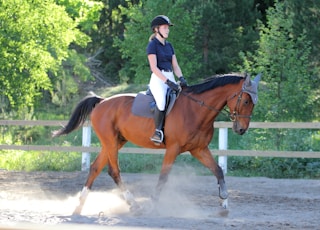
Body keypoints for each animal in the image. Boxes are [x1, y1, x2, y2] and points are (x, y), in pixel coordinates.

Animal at [53, 73, 262, 214]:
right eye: (245, 100)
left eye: (254, 103)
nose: (241, 129)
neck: (196, 110)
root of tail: (102, 101)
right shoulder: (173, 149)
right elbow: (163, 178)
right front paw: (153, 205)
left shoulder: (199, 149)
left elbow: (218, 170)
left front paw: (224, 202)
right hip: (111, 142)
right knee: (114, 171)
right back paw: (134, 204)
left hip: (115, 142)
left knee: (96, 168)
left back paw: (79, 206)